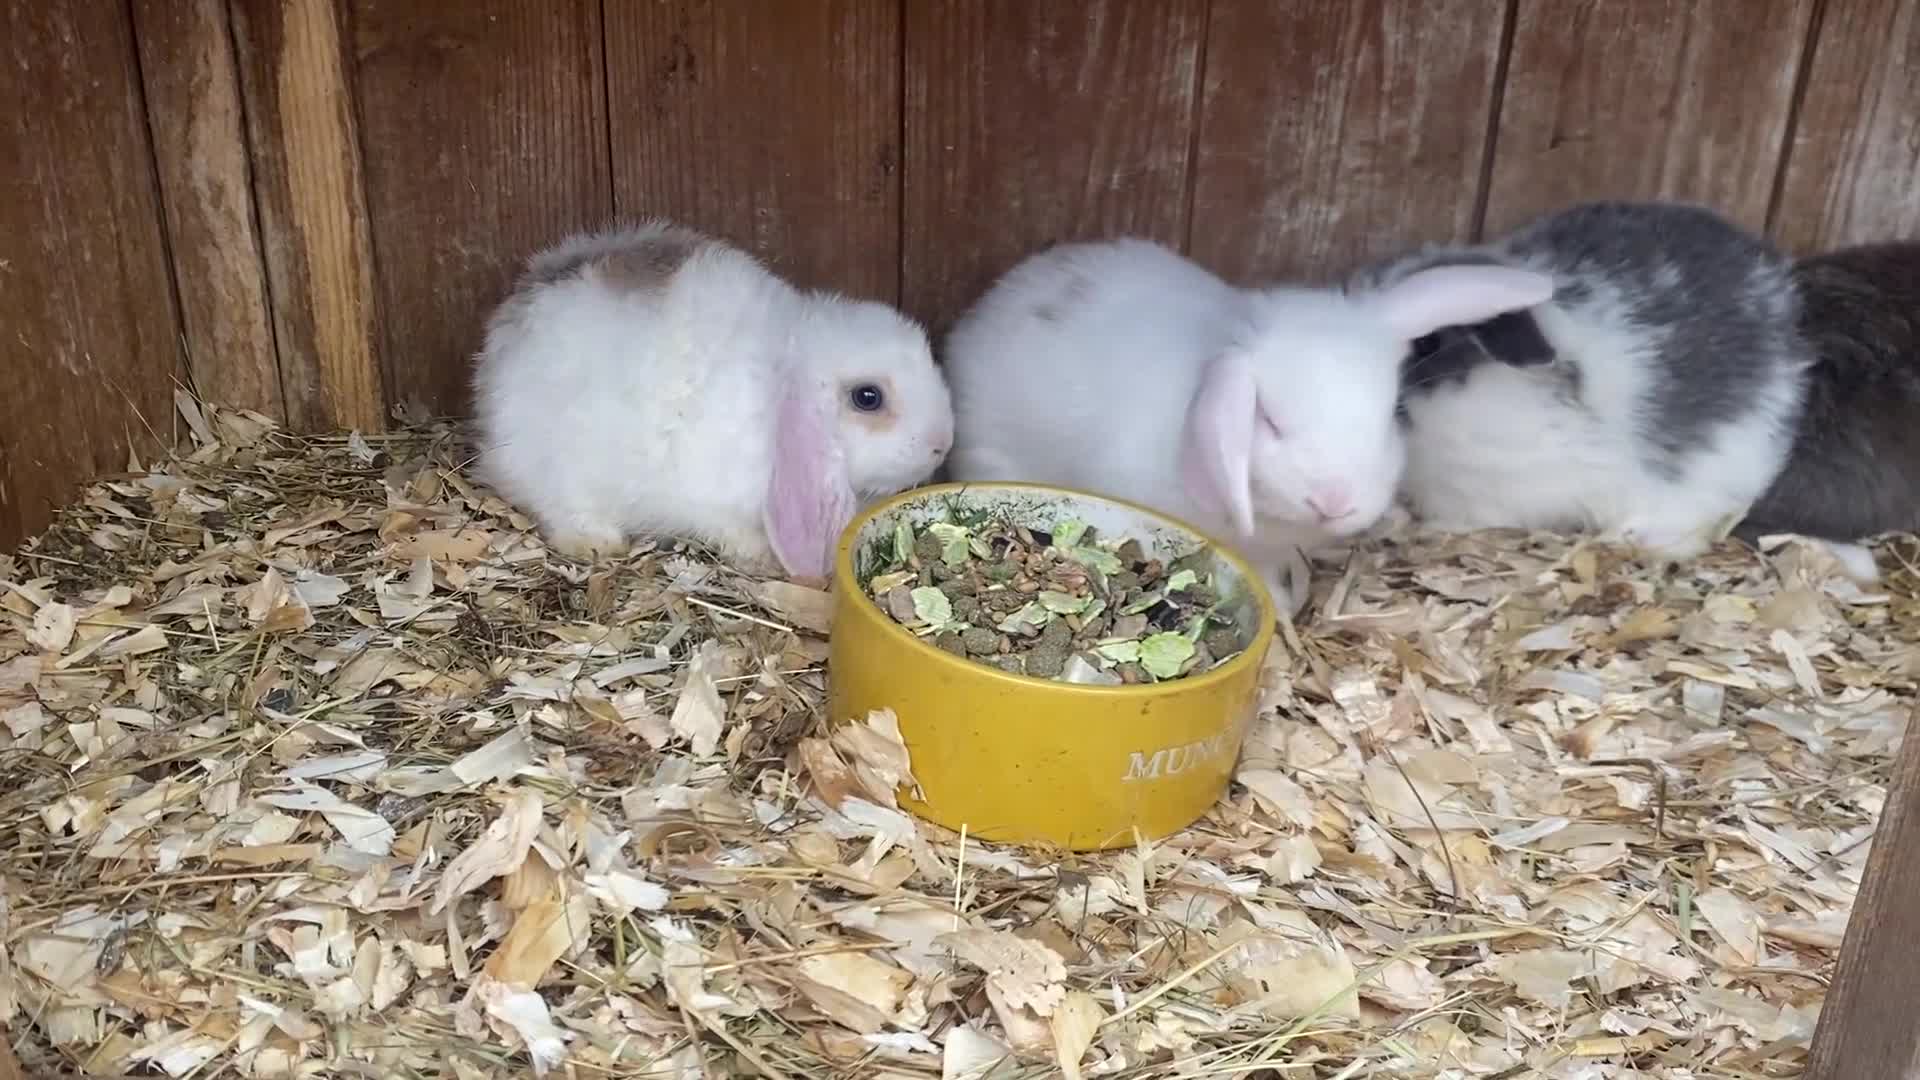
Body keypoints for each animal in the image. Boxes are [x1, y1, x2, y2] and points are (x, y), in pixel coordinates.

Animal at [470, 220, 954, 579]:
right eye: (868, 397)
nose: (942, 444)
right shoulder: (712, 499)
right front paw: (760, 557)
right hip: (557, 467)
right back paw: (596, 542)